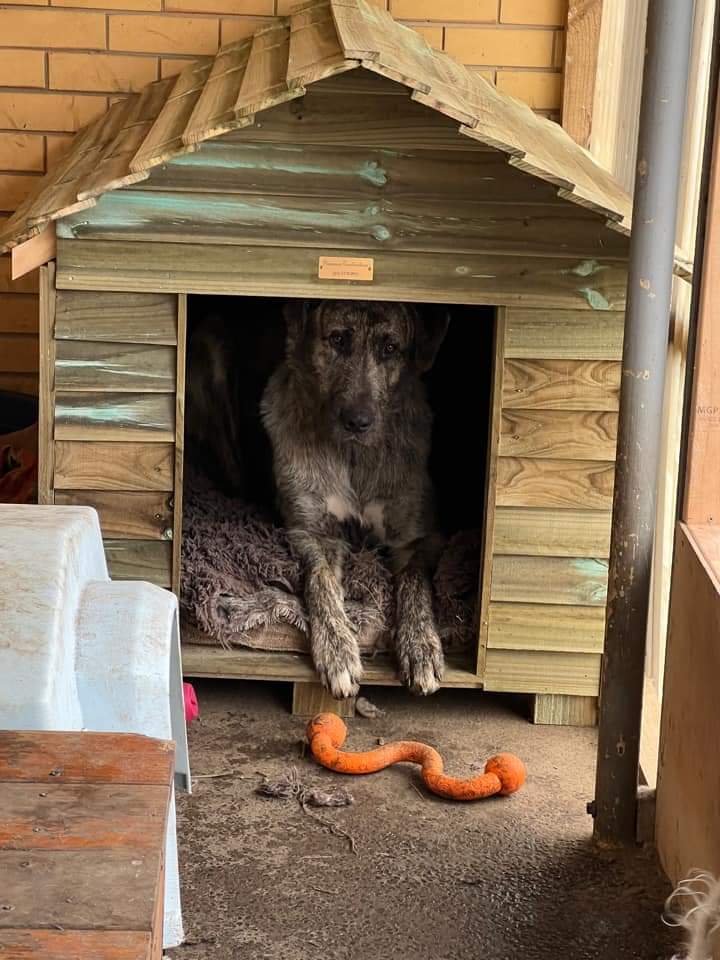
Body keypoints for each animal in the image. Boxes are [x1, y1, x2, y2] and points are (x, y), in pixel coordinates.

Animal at [262, 300, 448, 696]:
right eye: (337, 339)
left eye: (390, 348)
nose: (358, 422)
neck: (354, 456)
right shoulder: (312, 532)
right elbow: (321, 581)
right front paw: (337, 649)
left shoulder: (418, 537)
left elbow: (414, 582)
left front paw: (421, 645)